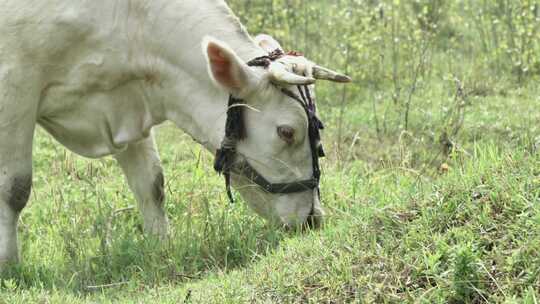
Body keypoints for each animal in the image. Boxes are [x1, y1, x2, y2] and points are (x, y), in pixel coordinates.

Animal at [0, 0, 350, 266]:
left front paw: (160, 246)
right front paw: (9, 267)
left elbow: (151, 183)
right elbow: (14, 188)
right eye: (287, 132)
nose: (313, 218)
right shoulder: (14, 83)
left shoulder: (125, 99)